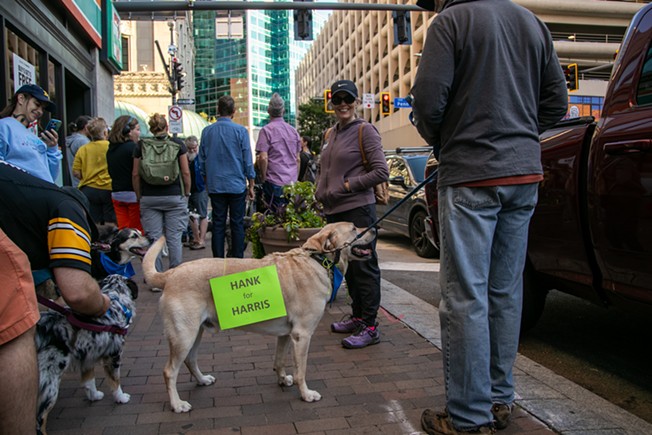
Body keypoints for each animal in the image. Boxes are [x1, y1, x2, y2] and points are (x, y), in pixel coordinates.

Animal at [144, 223, 376, 414]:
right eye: (354, 228)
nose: (374, 229)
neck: (318, 260)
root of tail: (171, 273)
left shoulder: (286, 334)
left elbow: (279, 360)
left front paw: (282, 380)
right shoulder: (302, 335)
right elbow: (301, 371)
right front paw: (306, 394)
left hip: (195, 332)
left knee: (190, 360)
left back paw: (202, 380)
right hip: (184, 335)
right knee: (169, 371)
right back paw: (177, 404)